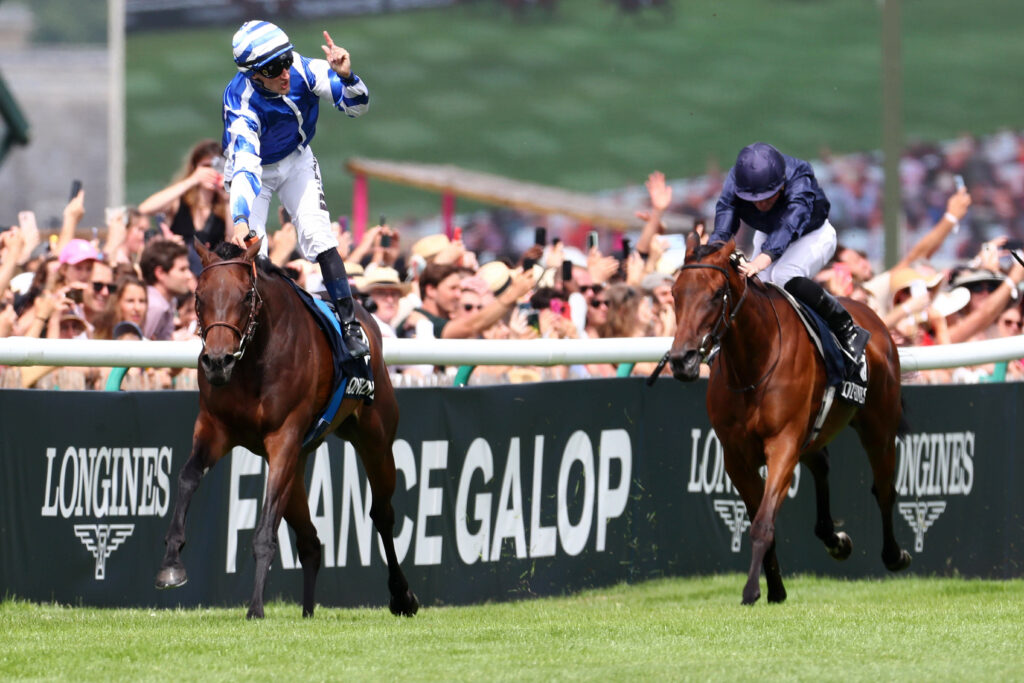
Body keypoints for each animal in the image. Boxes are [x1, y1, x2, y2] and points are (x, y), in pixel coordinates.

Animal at [154, 239, 419, 619]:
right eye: (198, 296)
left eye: (245, 296)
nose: (217, 361)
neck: (252, 361)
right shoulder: (213, 428)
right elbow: (187, 477)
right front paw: (171, 564)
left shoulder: (284, 438)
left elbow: (265, 530)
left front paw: (255, 608)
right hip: (300, 463)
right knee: (311, 541)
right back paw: (308, 612)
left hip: (375, 440)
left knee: (382, 514)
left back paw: (402, 596)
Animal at [667, 235, 911, 605]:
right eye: (675, 293)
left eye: (715, 293)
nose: (682, 360)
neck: (753, 363)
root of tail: (875, 319)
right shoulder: (736, 457)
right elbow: (758, 515)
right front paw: (775, 588)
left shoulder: (782, 444)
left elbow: (763, 522)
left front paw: (752, 590)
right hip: (813, 432)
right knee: (822, 463)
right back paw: (835, 540)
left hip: (878, 426)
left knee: (883, 488)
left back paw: (895, 555)